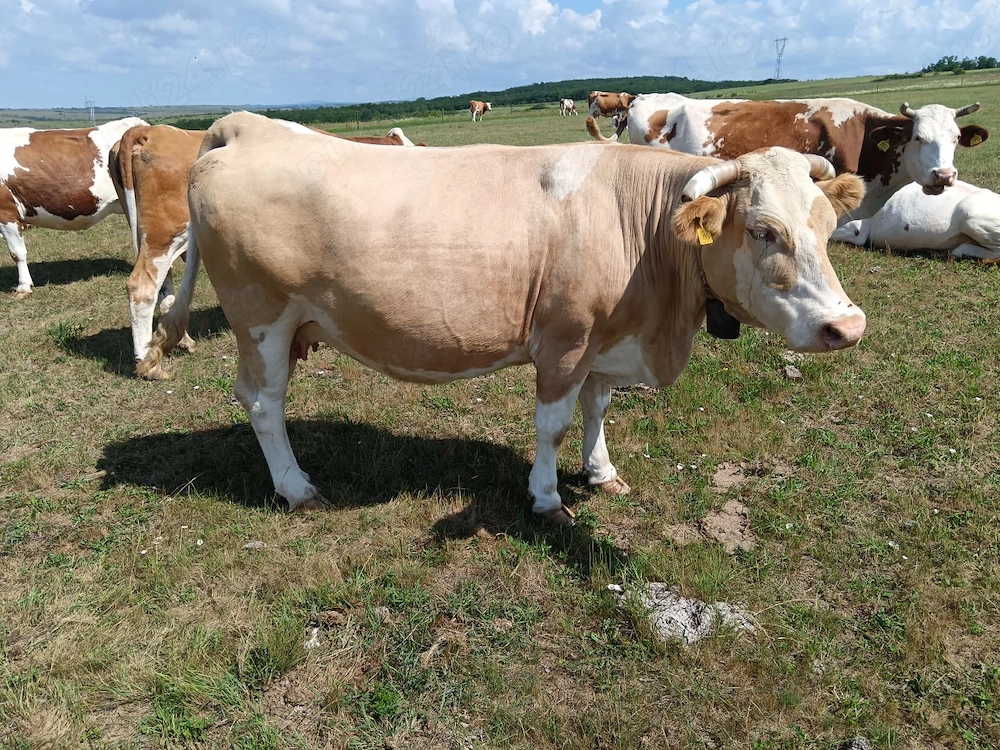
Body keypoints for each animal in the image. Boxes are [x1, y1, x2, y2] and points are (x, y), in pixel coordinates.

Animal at [111, 122, 419, 377]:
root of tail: (145, 131)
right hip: (165, 236)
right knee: (142, 287)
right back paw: (147, 363)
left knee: (166, 293)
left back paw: (180, 342)